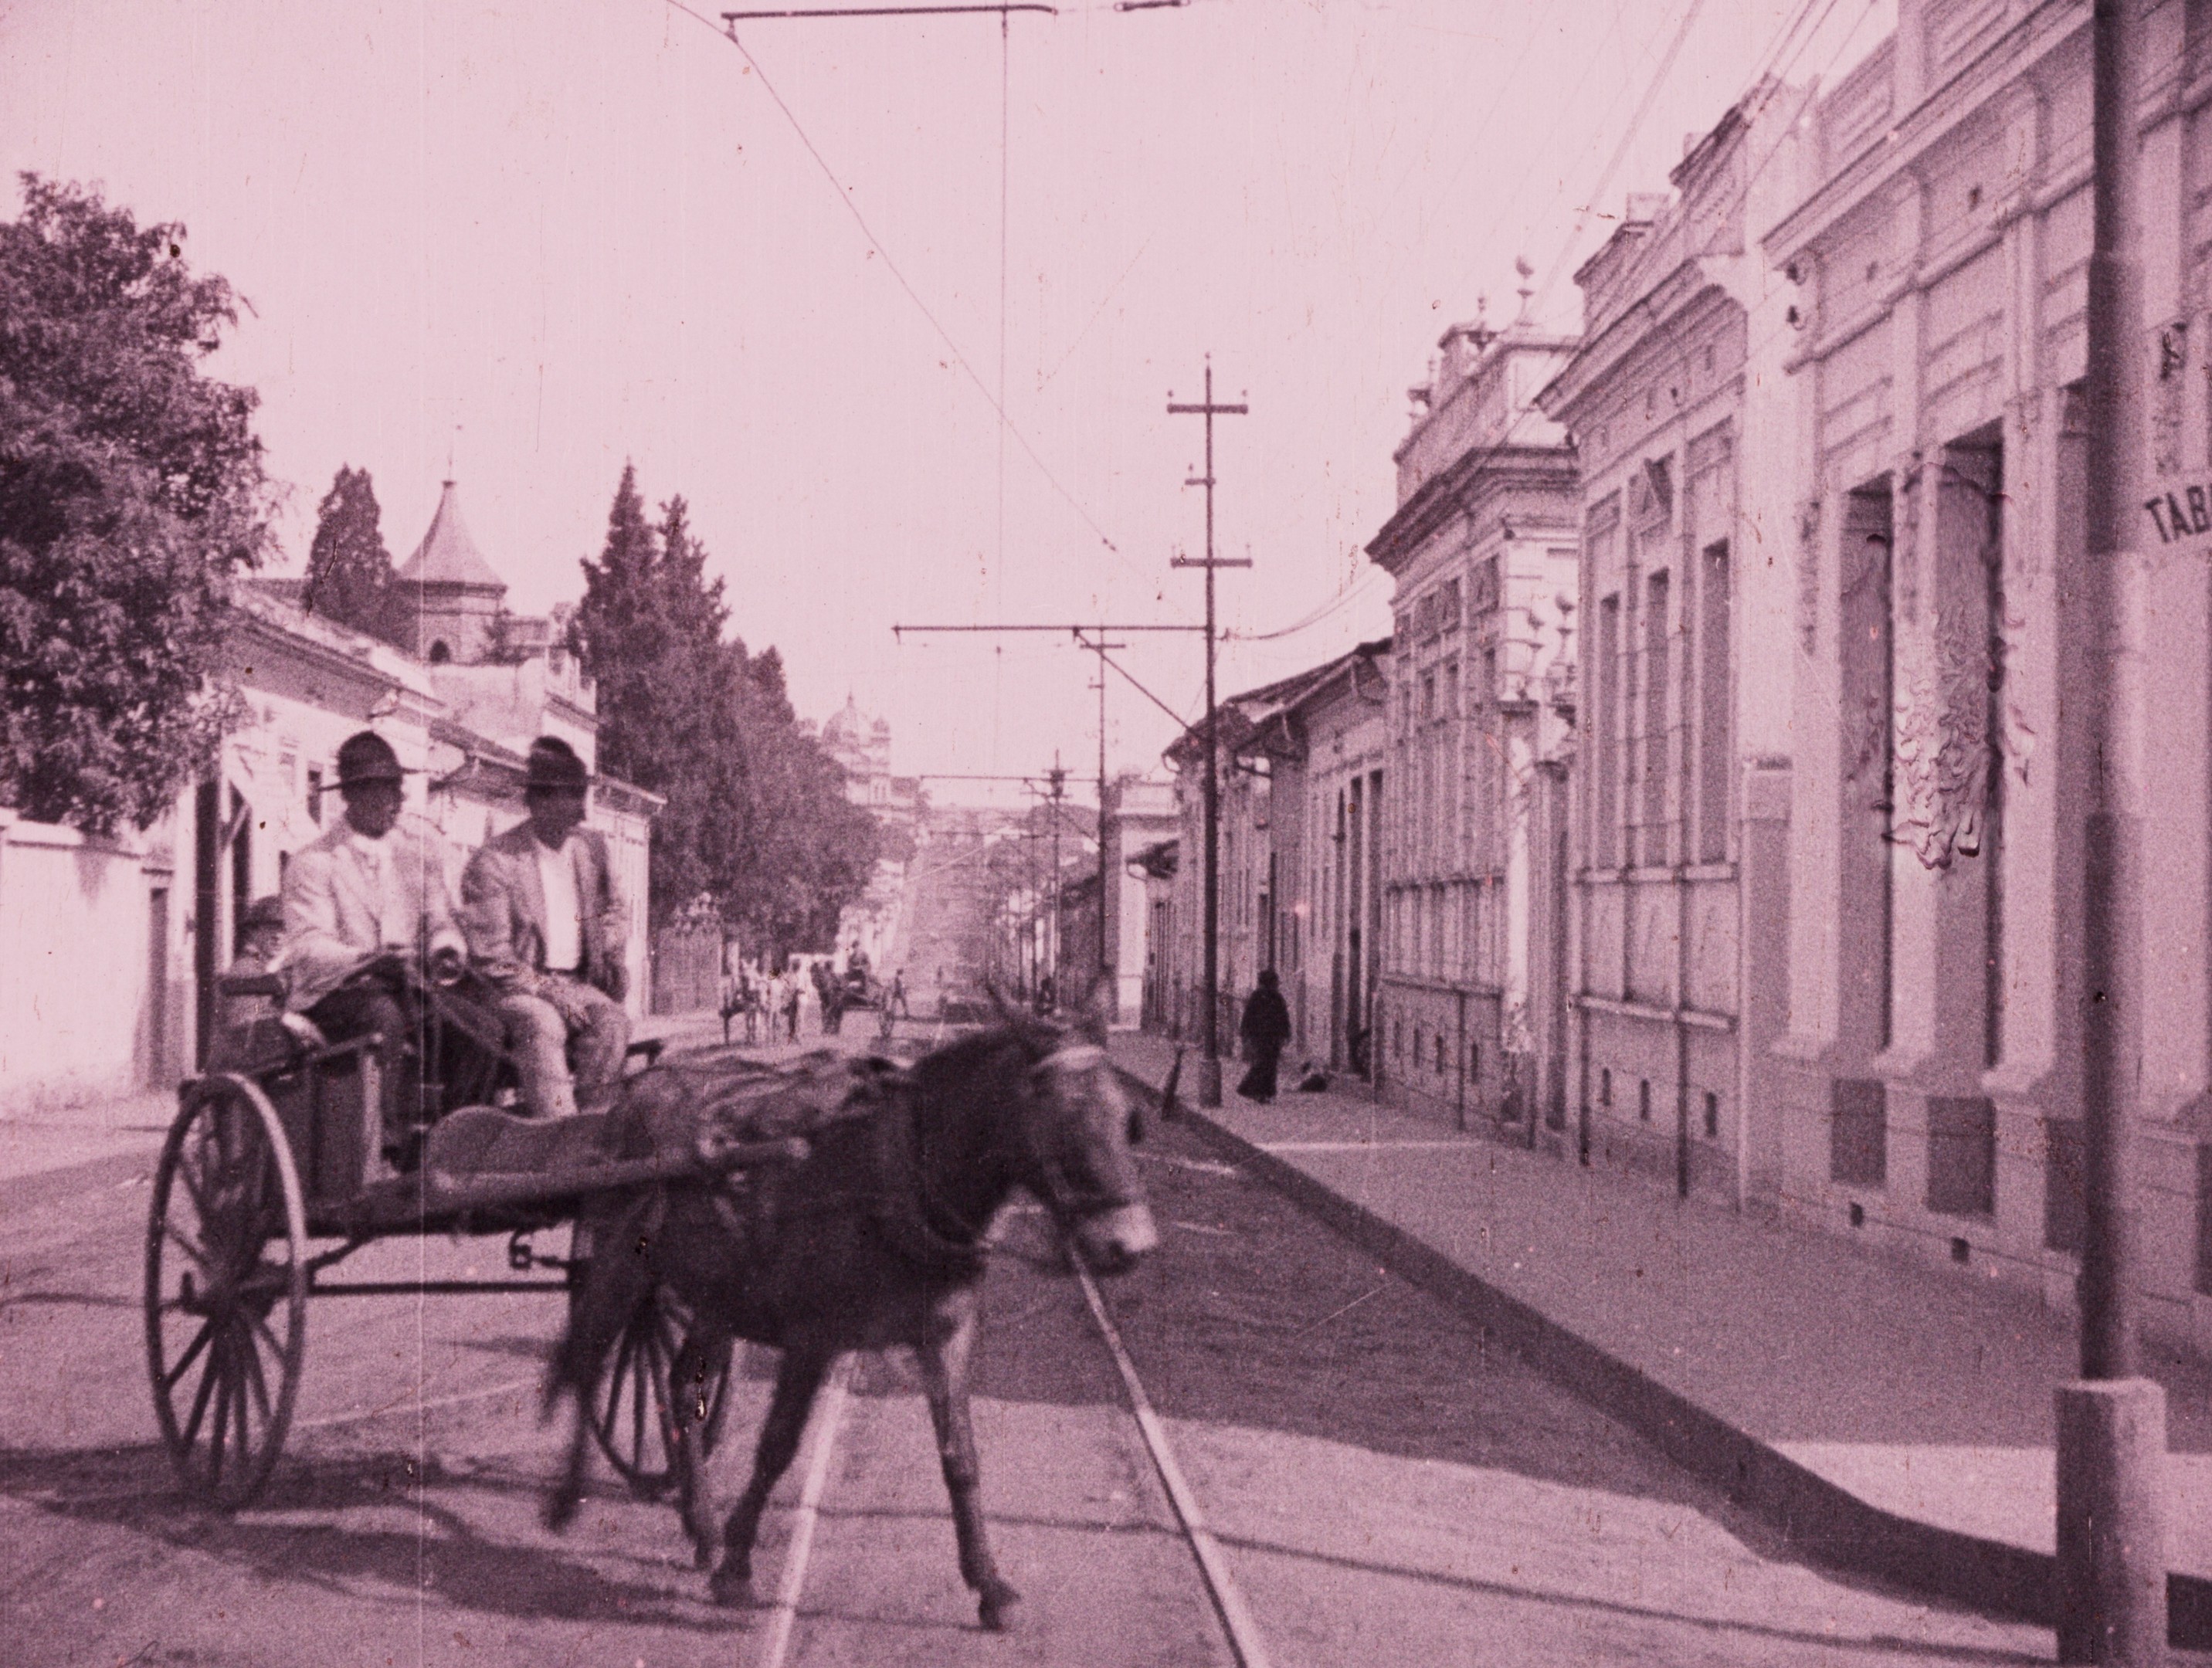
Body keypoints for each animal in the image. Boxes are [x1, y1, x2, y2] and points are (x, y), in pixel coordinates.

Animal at [544, 999, 1159, 1628]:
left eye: (1127, 1119)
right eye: (1060, 1120)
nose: (1131, 1245)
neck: (899, 1173)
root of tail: (636, 1091)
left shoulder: (946, 1335)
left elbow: (961, 1457)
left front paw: (990, 1584)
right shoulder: (812, 1338)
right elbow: (777, 1447)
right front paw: (738, 1567)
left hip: (717, 1295)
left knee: (678, 1382)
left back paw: (701, 1525)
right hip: (622, 1260)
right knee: (589, 1356)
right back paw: (569, 1499)